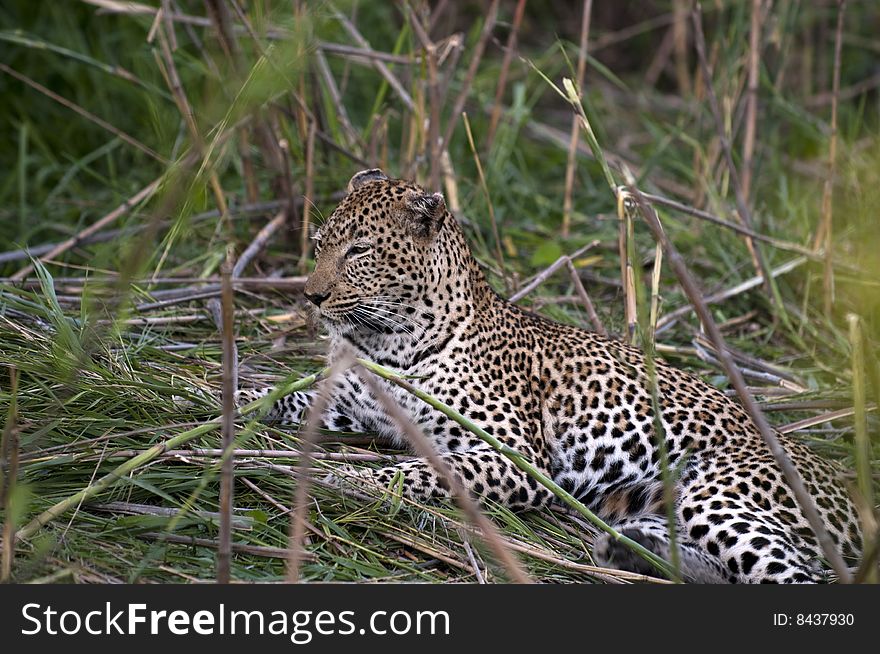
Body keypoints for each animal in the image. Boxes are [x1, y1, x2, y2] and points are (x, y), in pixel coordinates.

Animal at [237, 169, 864, 584]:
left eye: (359, 251)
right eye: (320, 245)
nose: (310, 297)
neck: (384, 342)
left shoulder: (516, 454)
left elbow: (417, 471)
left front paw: (345, 478)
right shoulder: (344, 403)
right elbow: (271, 394)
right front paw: (226, 405)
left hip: (721, 494)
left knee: (805, 578)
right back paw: (630, 551)